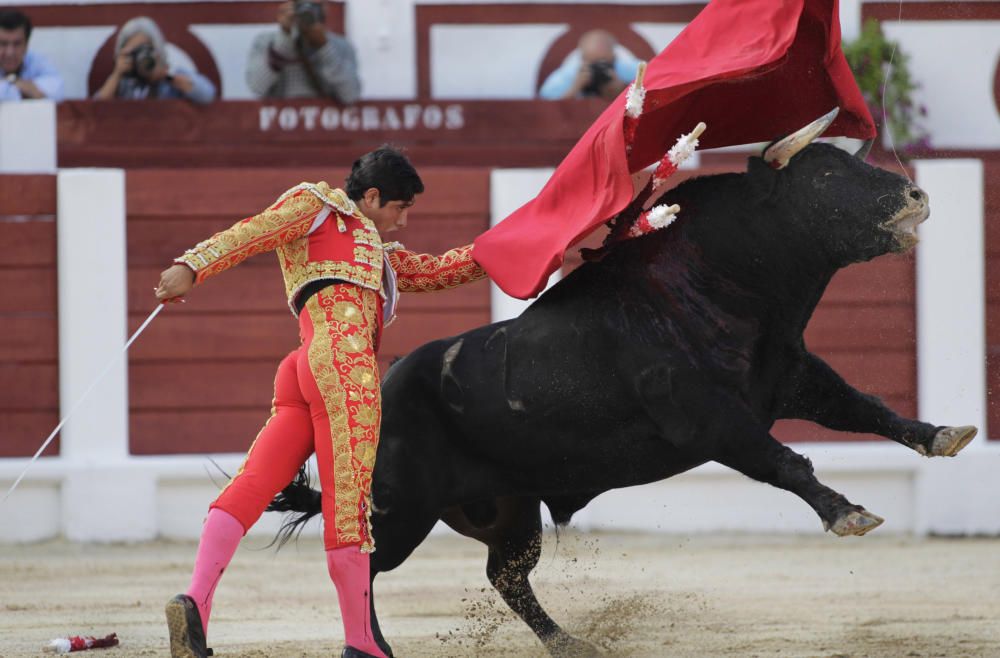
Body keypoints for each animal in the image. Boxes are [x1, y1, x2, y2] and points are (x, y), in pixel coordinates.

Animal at [274, 141, 976, 652]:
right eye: (827, 174)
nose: (915, 194)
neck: (714, 283)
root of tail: (386, 379)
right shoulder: (713, 422)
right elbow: (787, 461)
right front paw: (848, 513)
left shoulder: (790, 376)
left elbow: (865, 406)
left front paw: (943, 435)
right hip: (400, 508)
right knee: (361, 565)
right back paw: (371, 647)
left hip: (508, 508)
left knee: (505, 574)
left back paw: (569, 643)